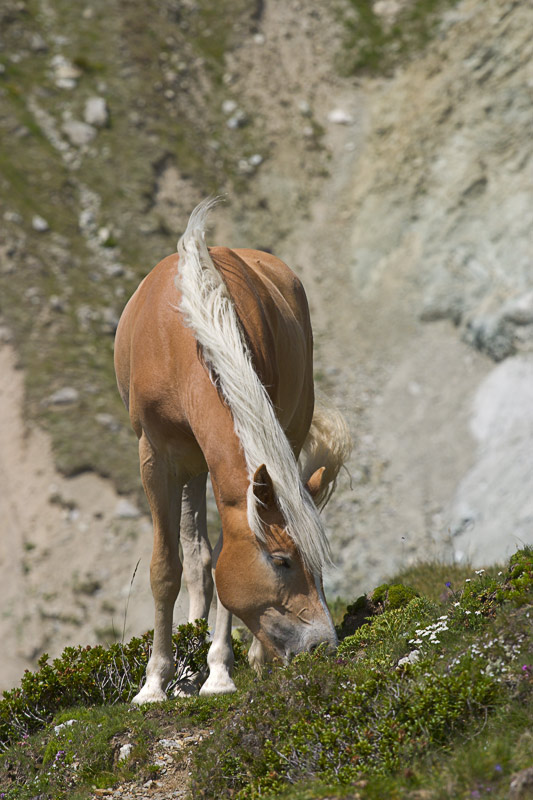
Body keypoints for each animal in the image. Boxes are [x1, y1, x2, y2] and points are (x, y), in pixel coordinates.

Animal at [114, 200, 352, 700]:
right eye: (281, 561)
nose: (323, 645)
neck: (186, 335)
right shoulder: (156, 457)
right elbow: (167, 568)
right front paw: (155, 682)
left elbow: (224, 558)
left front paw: (220, 673)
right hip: (190, 465)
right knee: (197, 561)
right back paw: (184, 673)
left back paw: (244, 661)